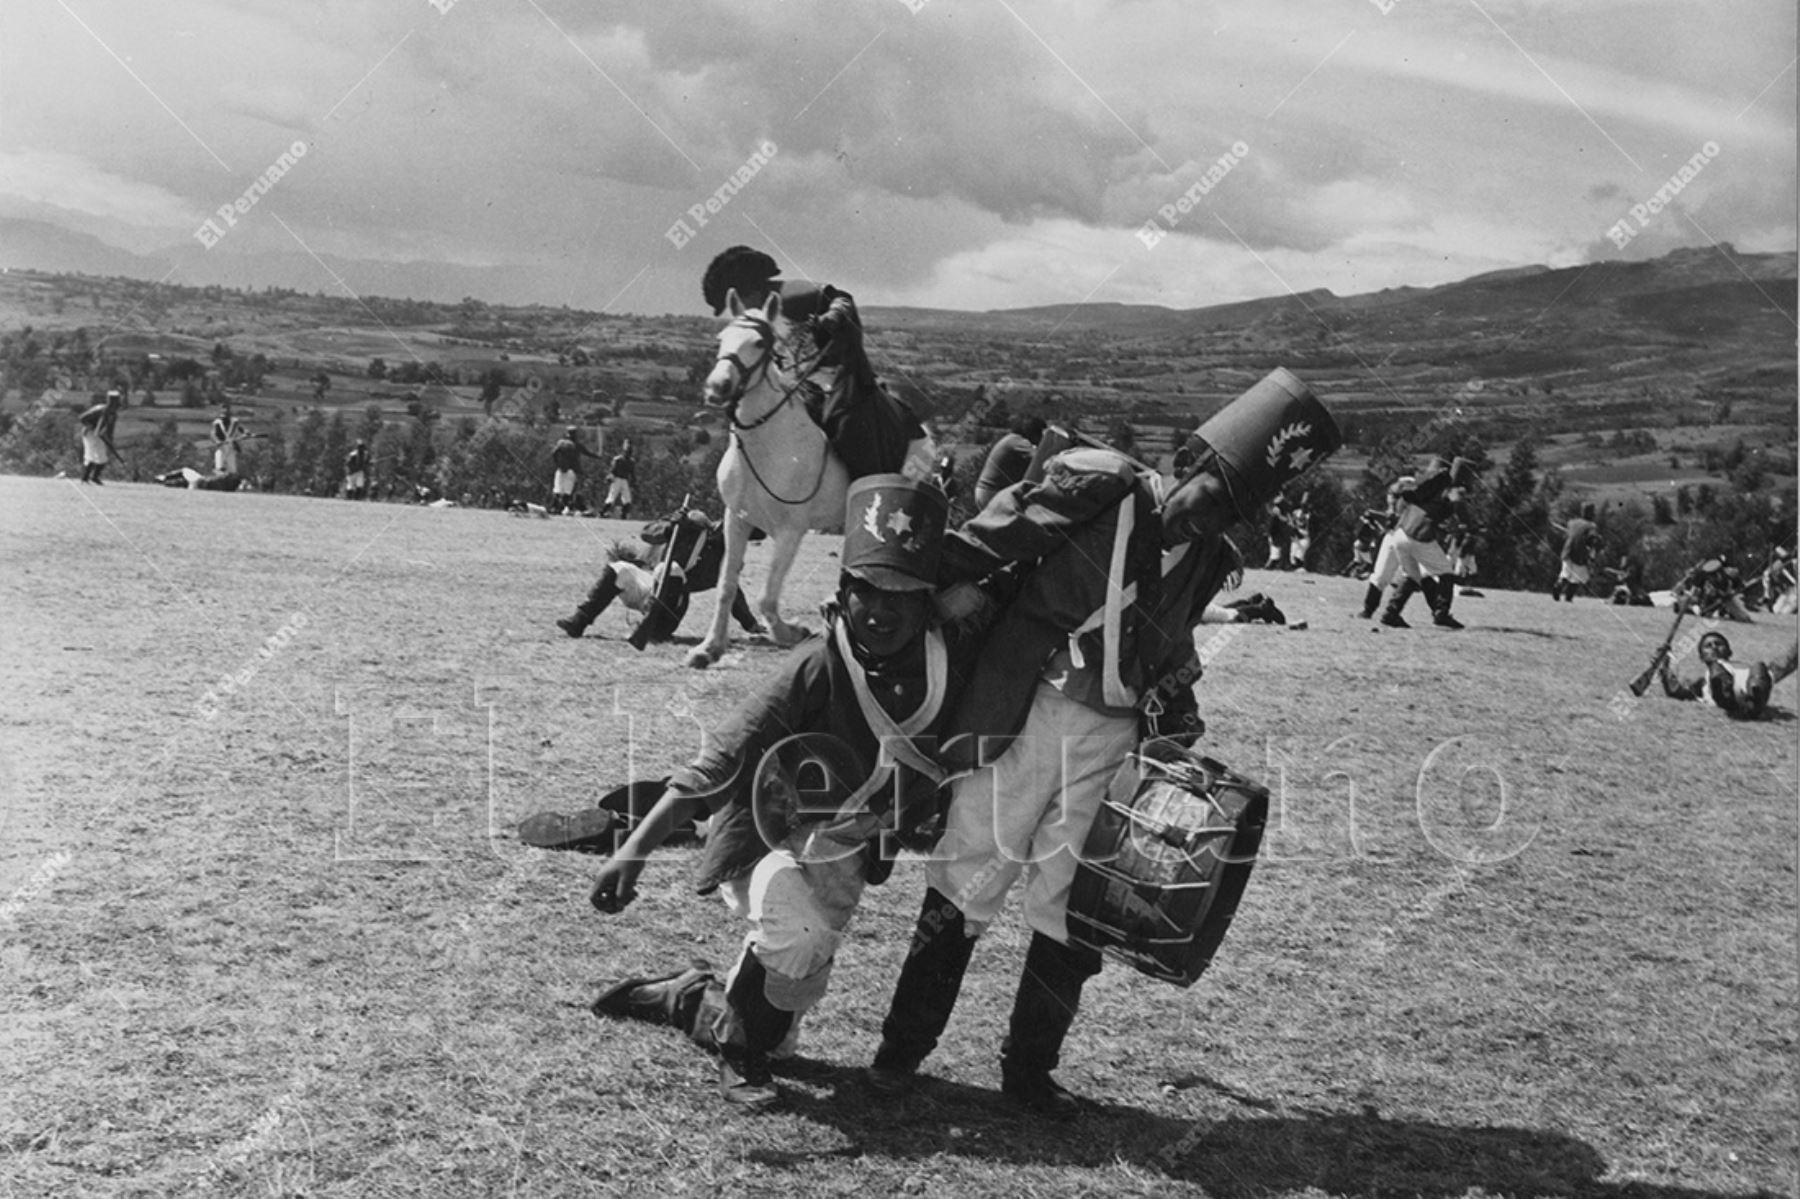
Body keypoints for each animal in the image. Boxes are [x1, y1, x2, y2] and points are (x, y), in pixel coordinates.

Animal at [687, 286, 936, 666]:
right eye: (722, 337)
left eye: (759, 342)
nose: (718, 387)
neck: (770, 443)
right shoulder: (737, 520)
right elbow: (727, 585)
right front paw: (710, 647)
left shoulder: (791, 531)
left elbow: (767, 597)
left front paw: (790, 632)